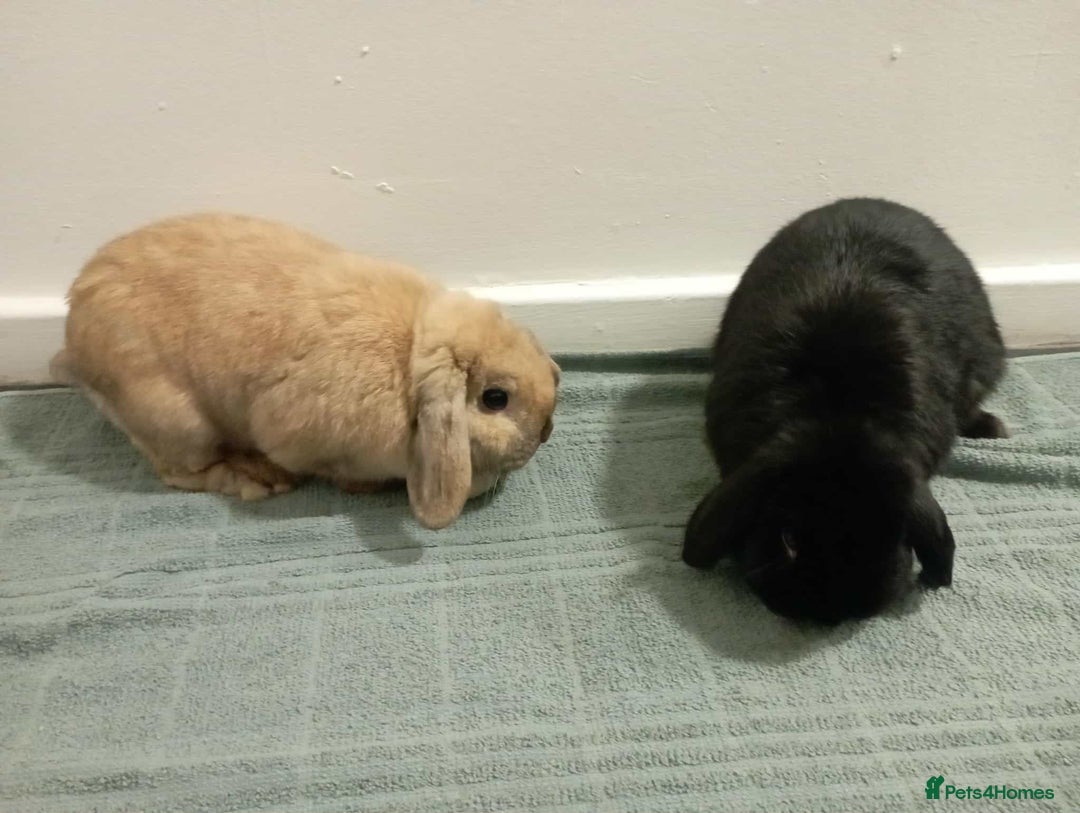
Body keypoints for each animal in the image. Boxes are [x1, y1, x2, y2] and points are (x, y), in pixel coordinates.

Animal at [53, 213, 560, 530]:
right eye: (495, 398)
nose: (547, 430)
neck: (410, 355)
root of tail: (74, 342)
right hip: (178, 421)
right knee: (180, 472)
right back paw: (256, 480)